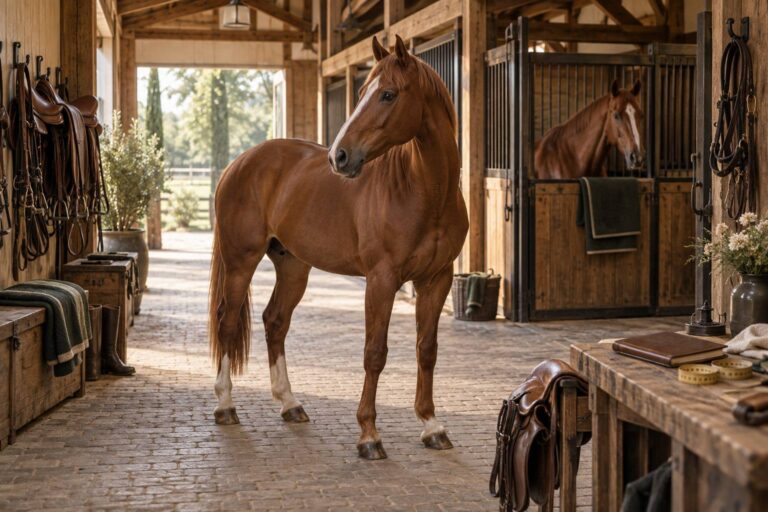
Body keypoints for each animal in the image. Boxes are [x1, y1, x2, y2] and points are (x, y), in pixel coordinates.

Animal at [208, 34, 468, 460]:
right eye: (362, 93)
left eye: (388, 94)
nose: (339, 156)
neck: (424, 193)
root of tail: (239, 163)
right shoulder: (381, 280)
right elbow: (374, 353)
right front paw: (369, 435)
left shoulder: (436, 280)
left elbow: (426, 350)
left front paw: (432, 426)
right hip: (240, 262)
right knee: (228, 323)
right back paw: (226, 405)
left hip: (293, 267)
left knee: (275, 321)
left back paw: (290, 403)